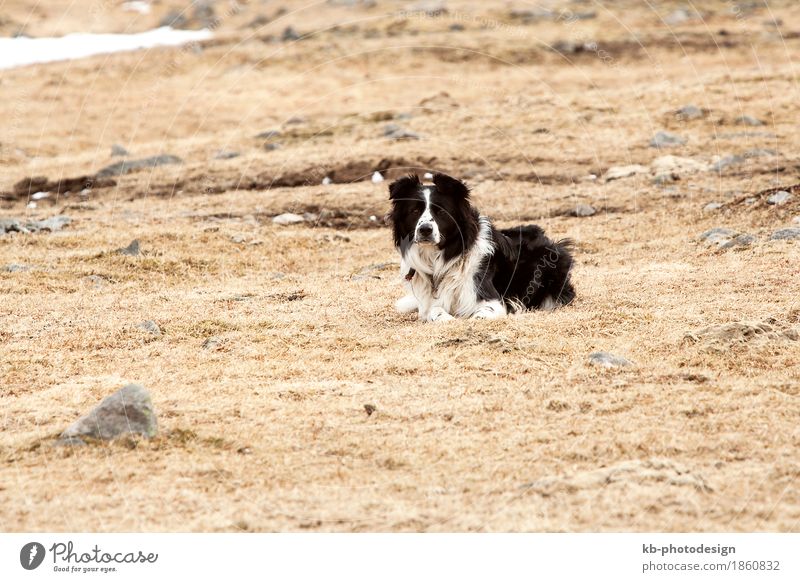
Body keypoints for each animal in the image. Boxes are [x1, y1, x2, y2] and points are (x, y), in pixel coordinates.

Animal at [390, 172, 572, 324]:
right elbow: (434, 310)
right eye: (414, 211)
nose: (425, 229)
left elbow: (483, 312)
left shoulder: (491, 299)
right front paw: (445, 318)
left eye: (441, 212)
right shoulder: (428, 302)